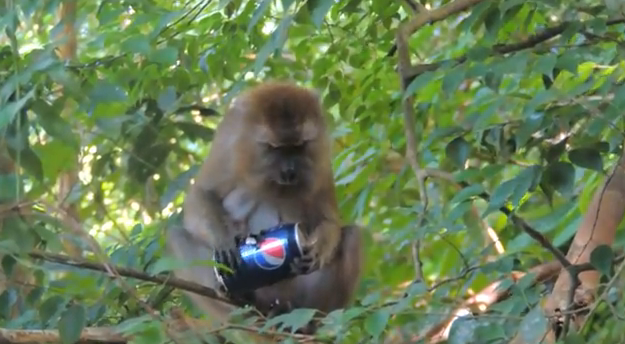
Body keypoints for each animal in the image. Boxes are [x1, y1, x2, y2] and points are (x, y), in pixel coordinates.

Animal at [166, 80, 364, 334]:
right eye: (276, 148)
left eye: (299, 147)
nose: (289, 171)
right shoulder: (229, 139)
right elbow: (203, 193)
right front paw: (223, 240)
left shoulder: (320, 155)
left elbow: (328, 219)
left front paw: (317, 249)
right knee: (177, 236)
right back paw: (243, 305)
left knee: (352, 237)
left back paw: (305, 322)